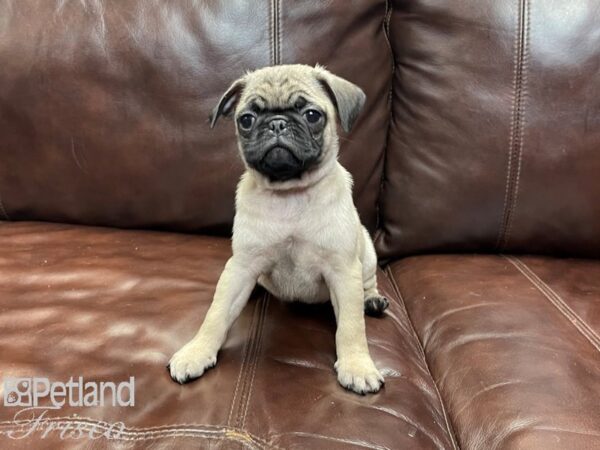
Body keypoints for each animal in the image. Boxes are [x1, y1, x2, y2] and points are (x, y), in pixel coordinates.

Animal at [168, 63, 390, 394]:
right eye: (246, 120)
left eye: (312, 115)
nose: (277, 124)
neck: (290, 194)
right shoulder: (241, 266)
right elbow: (216, 314)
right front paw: (197, 351)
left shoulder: (343, 270)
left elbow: (351, 327)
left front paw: (357, 365)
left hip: (367, 253)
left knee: (368, 282)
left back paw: (372, 300)